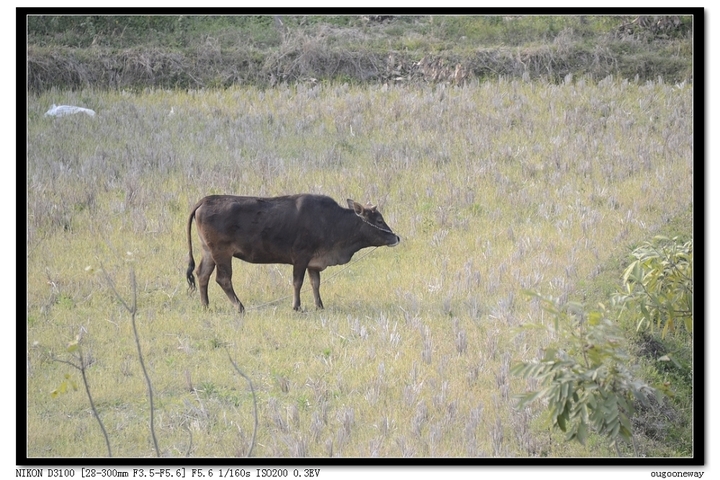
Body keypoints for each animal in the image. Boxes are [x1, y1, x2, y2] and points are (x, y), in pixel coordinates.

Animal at [186, 193, 400, 314]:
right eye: (379, 220)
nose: (396, 237)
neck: (331, 221)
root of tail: (205, 200)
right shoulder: (300, 257)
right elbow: (298, 282)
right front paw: (296, 307)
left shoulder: (314, 262)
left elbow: (315, 283)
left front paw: (319, 305)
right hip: (222, 252)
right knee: (223, 279)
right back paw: (239, 307)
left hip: (208, 251)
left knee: (202, 274)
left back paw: (206, 306)